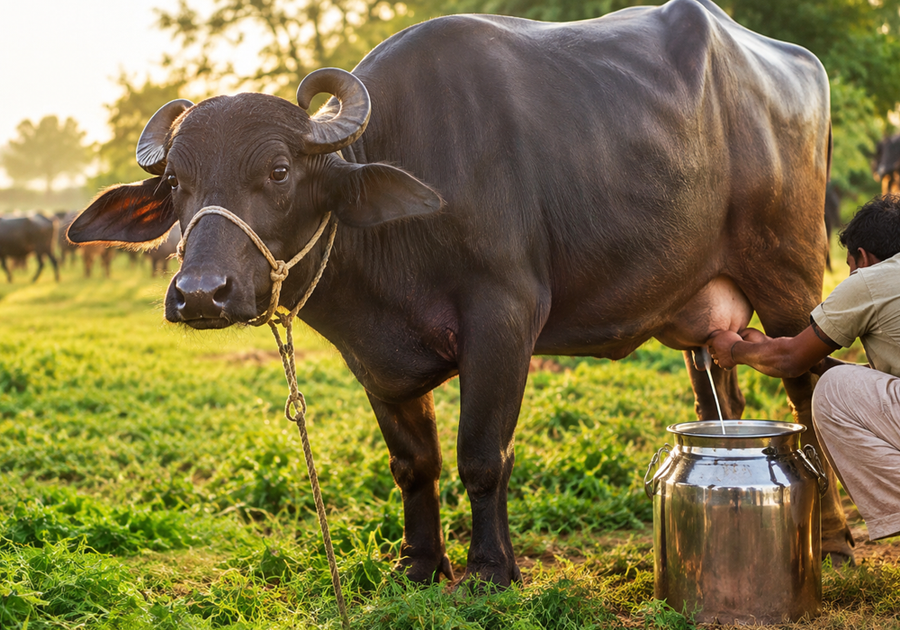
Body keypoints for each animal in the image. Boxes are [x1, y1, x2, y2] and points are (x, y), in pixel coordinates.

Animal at [69, 0, 850, 584]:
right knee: (723, 396)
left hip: (790, 274)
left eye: (281, 169)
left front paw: (491, 568)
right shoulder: (376, 360)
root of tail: (795, 64)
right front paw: (419, 563)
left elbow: (482, 453)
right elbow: (414, 464)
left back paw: (835, 538)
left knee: (806, 390)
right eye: (177, 183)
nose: (202, 293)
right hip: (697, 307)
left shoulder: (503, 318)